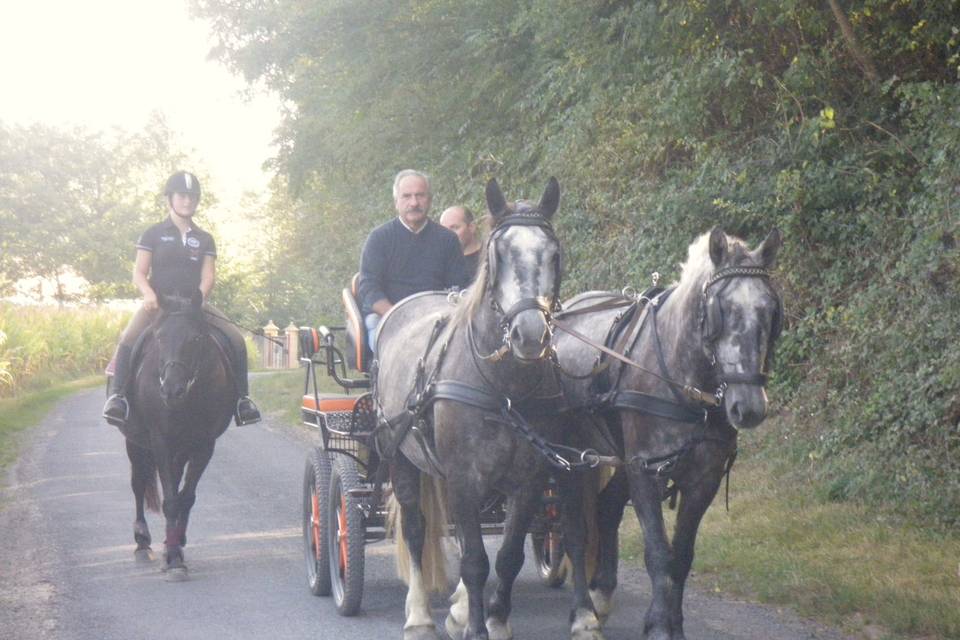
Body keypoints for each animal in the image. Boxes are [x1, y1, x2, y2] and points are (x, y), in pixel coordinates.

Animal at [119, 290, 235, 580]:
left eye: (195, 339)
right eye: (160, 338)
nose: (172, 390)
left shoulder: (204, 444)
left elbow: (186, 497)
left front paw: (176, 546)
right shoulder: (160, 441)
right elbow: (170, 500)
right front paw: (172, 559)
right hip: (135, 444)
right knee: (138, 484)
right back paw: (142, 543)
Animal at [376, 178, 600, 640]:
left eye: (554, 254)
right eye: (498, 255)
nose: (529, 334)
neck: (504, 389)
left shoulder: (528, 479)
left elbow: (508, 556)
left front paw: (494, 620)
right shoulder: (464, 476)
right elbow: (475, 561)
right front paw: (477, 627)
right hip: (400, 455)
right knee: (415, 529)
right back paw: (420, 615)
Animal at [552, 228, 784, 636]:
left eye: (770, 310)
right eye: (720, 311)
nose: (749, 407)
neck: (680, 379)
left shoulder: (702, 478)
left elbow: (682, 555)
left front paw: (673, 623)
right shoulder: (646, 470)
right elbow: (658, 553)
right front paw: (660, 625)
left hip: (618, 457)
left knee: (607, 509)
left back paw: (602, 593)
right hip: (571, 456)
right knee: (574, 529)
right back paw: (582, 612)